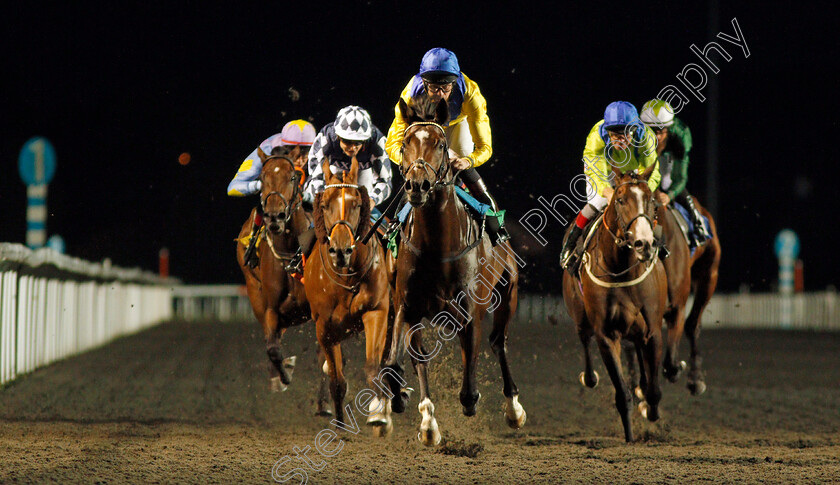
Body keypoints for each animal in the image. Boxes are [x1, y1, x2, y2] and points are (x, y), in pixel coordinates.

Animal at [236, 147, 332, 412]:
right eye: (262, 177)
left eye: (292, 177)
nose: (275, 217)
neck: (291, 254)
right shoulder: (271, 308)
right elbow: (272, 349)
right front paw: (284, 375)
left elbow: (324, 353)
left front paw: (324, 401)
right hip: (255, 294)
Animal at [304, 157, 396, 436]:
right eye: (324, 204)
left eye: (356, 203)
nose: (341, 250)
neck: (346, 279)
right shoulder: (324, 327)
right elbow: (336, 379)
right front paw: (340, 427)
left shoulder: (376, 312)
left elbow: (373, 367)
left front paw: (379, 415)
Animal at [386, 95, 524, 446]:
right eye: (405, 143)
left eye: (441, 143)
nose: (417, 185)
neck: (437, 245)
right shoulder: (406, 306)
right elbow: (397, 362)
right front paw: (413, 410)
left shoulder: (471, 311)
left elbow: (469, 375)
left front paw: (472, 401)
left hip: (508, 291)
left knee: (498, 341)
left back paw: (514, 409)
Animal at [564, 164, 668, 442]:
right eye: (620, 200)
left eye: (651, 201)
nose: (644, 243)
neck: (621, 269)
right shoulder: (607, 335)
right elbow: (622, 394)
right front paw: (630, 437)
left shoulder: (653, 330)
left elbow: (654, 390)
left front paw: (651, 412)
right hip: (579, 315)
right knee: (584, 339)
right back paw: (589, 377)